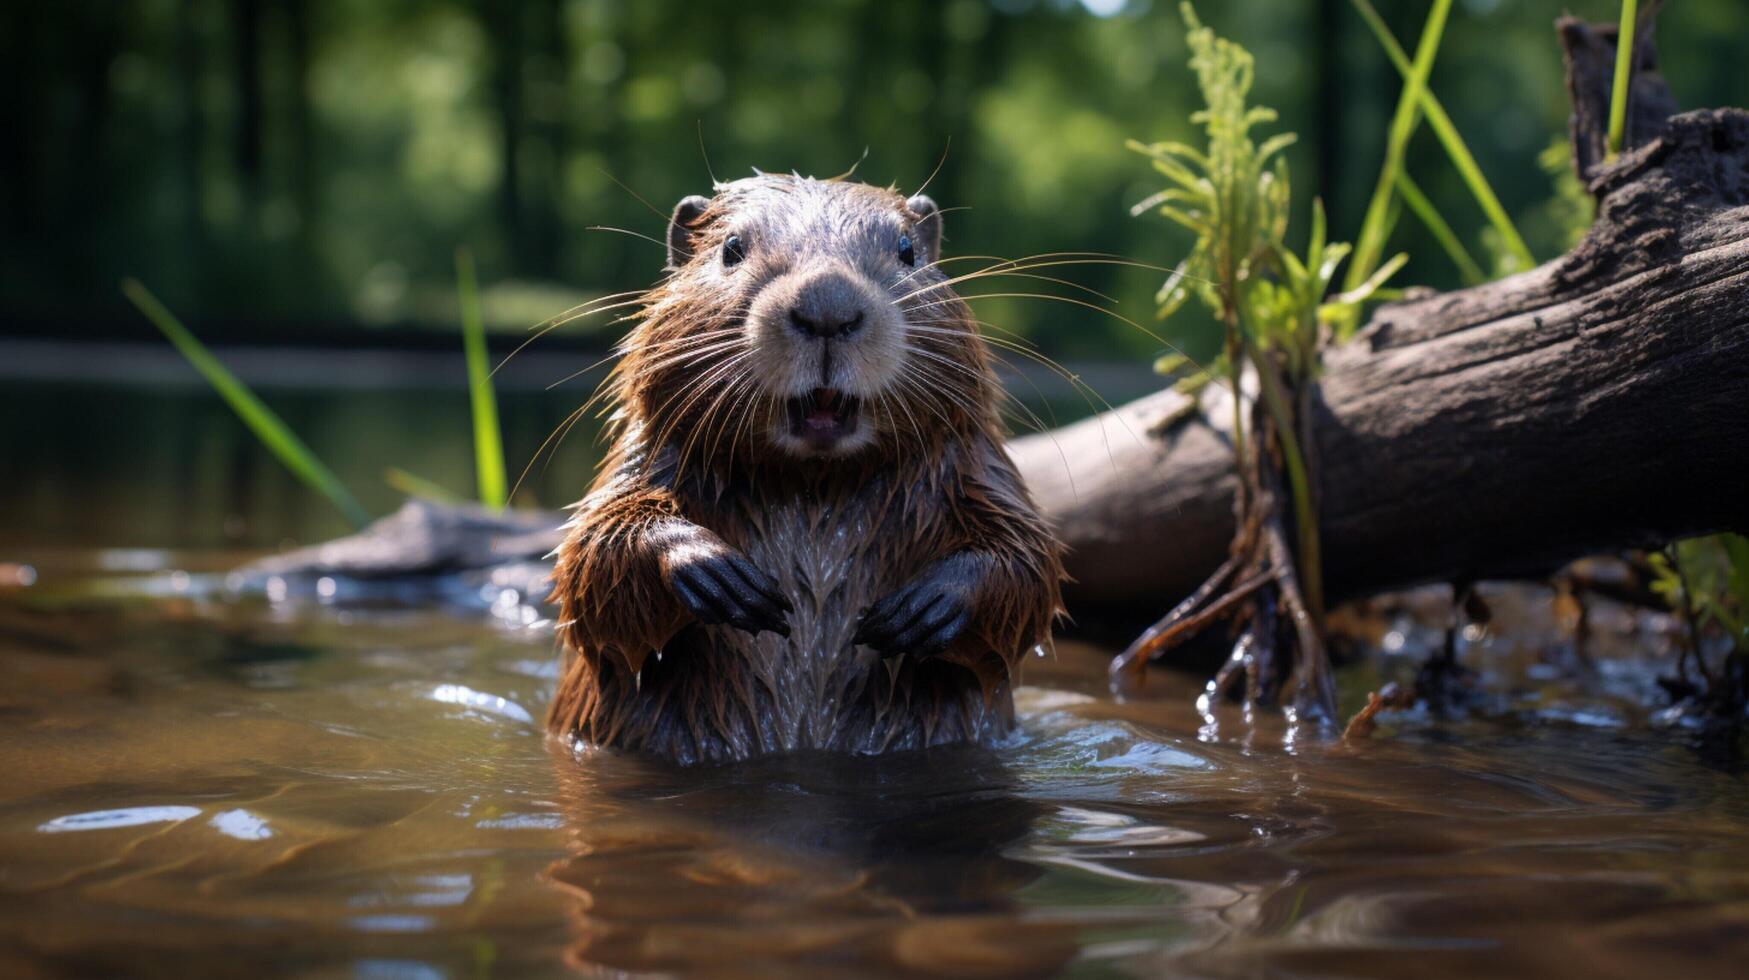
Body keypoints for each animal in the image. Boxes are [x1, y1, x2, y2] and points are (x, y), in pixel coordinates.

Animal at [545, 172, 1063, 763]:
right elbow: (593, 551)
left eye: (907, 250)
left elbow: (1027, 556)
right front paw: (723, 577)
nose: (828, 305)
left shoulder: (968, 461)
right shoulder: (651, 452)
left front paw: (918, 611)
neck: (814, 482)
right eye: (731, 248)